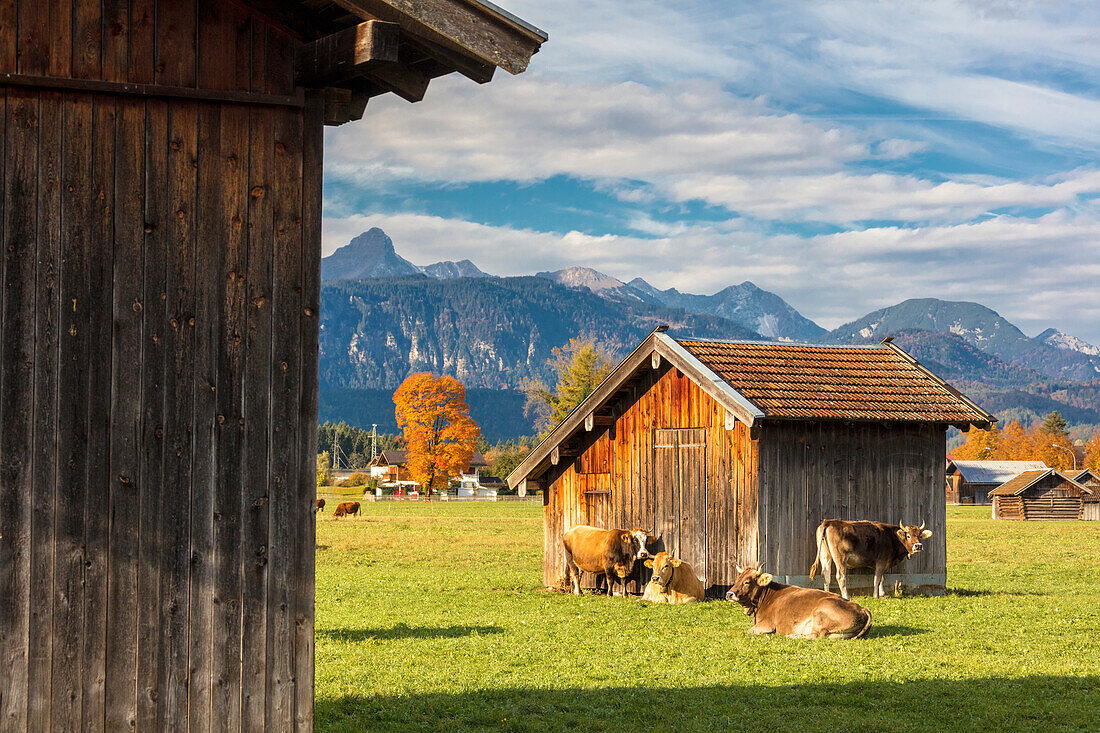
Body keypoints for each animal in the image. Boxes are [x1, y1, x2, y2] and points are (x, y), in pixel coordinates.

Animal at [726, 561, 871, 638]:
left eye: (747, 582)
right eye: (737, 580)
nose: (729, 594)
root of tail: (862, 609)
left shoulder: (767, 624)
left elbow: (747, 632)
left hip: (820, 614)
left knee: (816, 635)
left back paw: (792, 636)